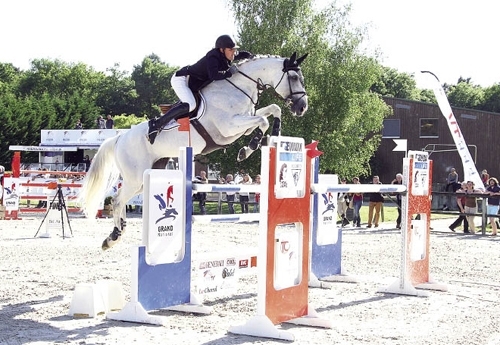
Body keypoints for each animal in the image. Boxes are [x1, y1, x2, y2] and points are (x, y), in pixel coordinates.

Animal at [79, 52, 308, 249]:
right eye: (294, 77)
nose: (302, 107)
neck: (237, 88)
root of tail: (119, 138)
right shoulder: (229, 127)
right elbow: (262, 120)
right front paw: (248, 148)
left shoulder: (242, 122)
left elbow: (271, 111)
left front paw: (273, 133)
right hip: (135, 177)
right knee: (117, 200)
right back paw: (114, 236)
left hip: (148, 176)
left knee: (122, 200)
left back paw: (116, 234)